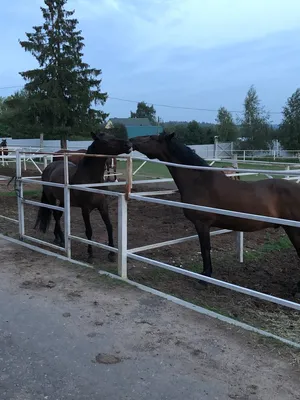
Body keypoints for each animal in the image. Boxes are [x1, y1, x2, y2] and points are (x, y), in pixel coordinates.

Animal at [34, 132, 131, 262]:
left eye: (113, 136)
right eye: (106, 141)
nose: (128, 144)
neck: (91, 180)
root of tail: (48, 167)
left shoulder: (103, 206)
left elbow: (109, 227)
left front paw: (111, 254)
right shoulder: (85, 209)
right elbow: (89, 231)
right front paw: (90, 254)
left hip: (64, 200)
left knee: (58, 215)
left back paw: (57, 238)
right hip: (51, 198)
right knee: (55, 215)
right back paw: (62, 239)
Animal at [132, 133, 300, 292]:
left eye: (151, 138)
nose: (130, 141)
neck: (199, 181)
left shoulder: (202, 224)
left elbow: (205, 248)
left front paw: (204, 278)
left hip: (294, 230)